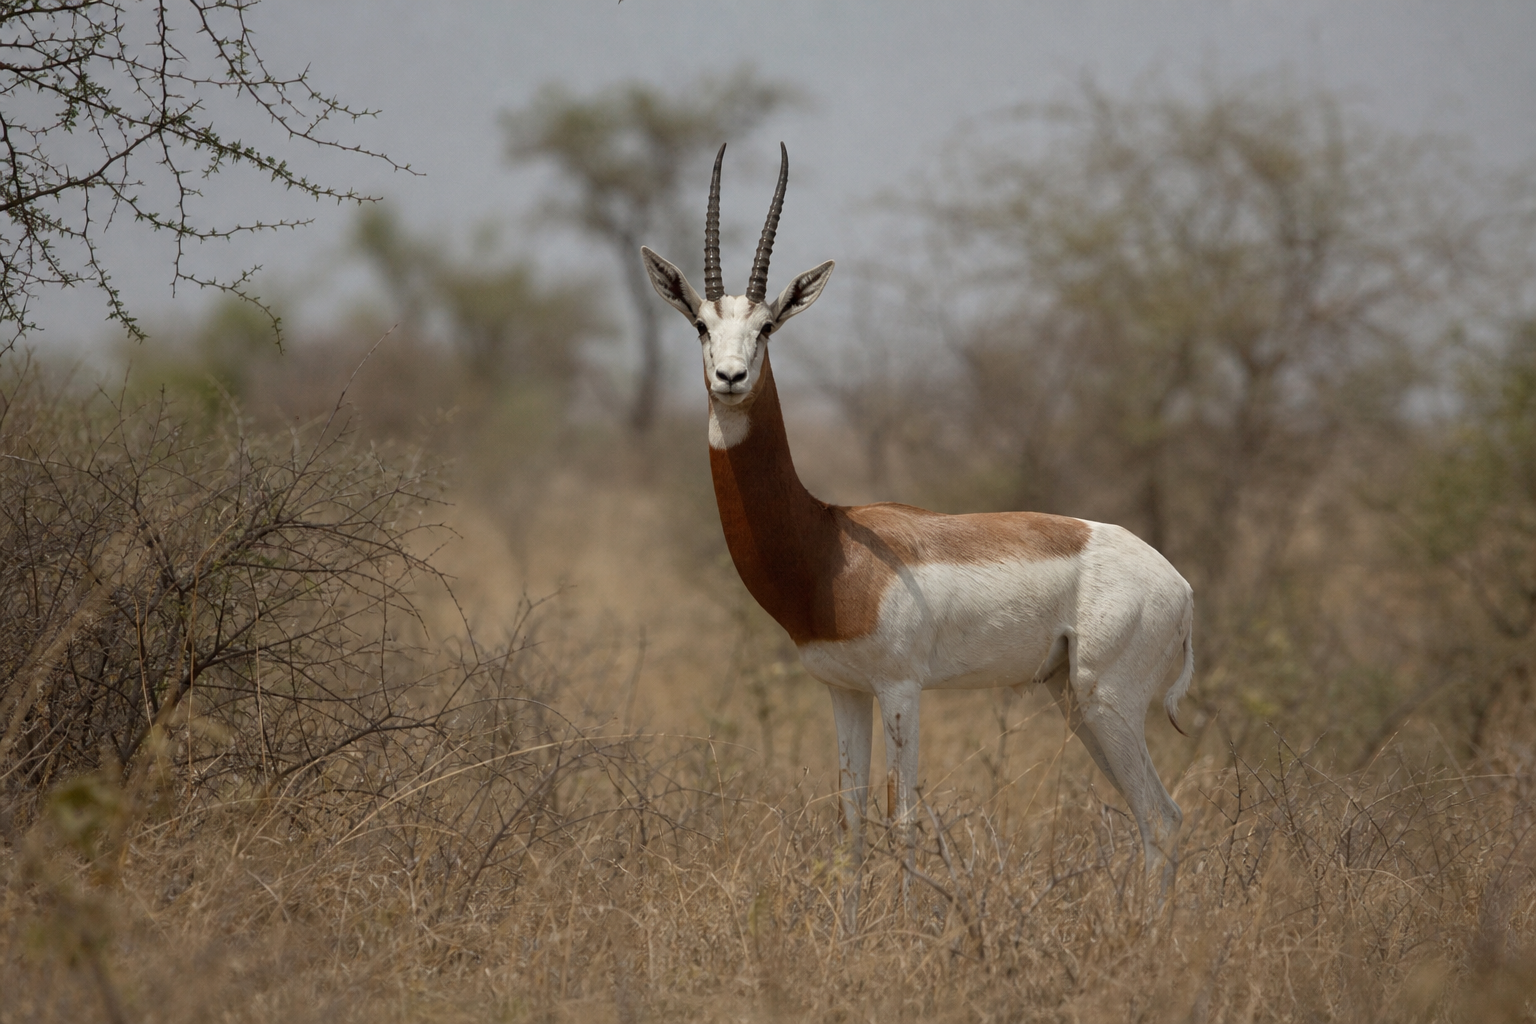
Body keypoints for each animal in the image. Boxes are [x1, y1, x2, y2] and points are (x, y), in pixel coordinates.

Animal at [640, 143, 1194, 912]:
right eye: (700, 323)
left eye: (768, 326)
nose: (729, 377)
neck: (831, 543)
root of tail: (1179, 583)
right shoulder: (844, 690)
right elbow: (850, 818)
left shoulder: (901, 689)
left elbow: (901, 816)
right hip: (1073, 701)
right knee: (1152, 818)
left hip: (1106, 700)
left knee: (1163, 819)